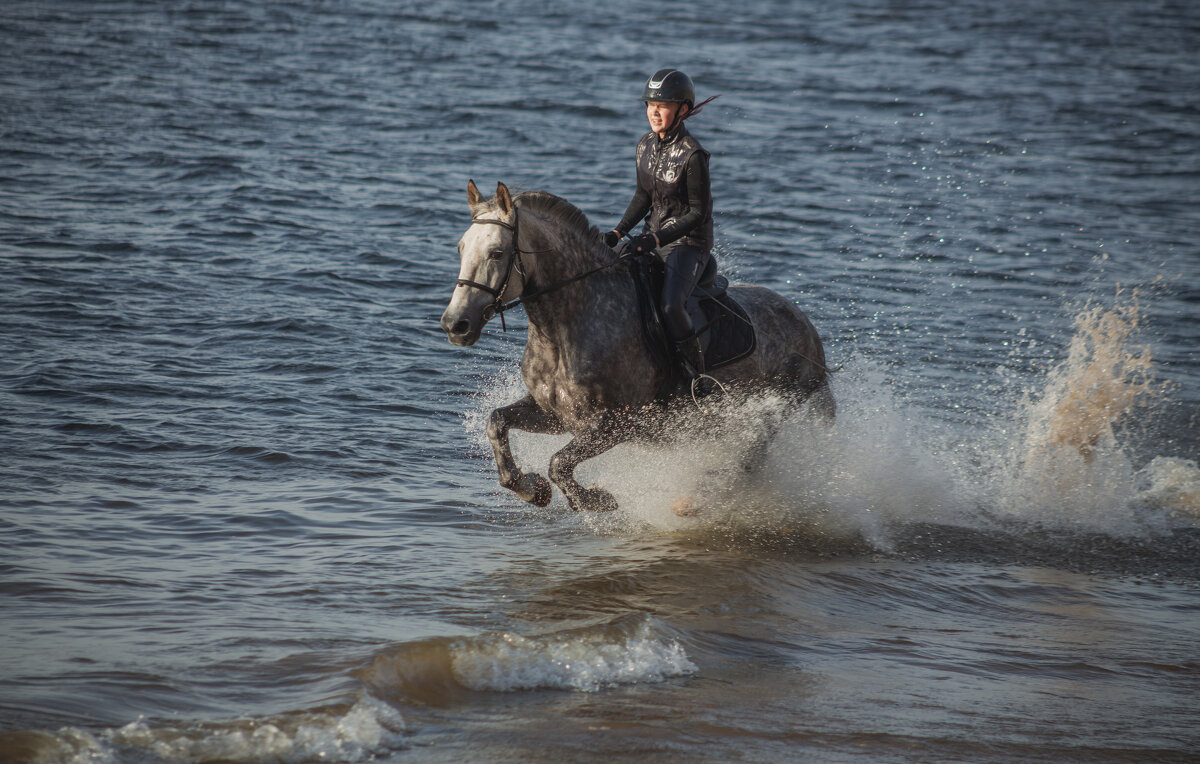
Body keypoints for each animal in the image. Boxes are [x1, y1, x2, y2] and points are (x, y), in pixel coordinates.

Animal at [441, 179, 835, 513]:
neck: (568, 326)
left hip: (768, 413)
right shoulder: (555, 415)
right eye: (460, 248)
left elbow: (559, 463)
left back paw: (693, 501)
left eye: (496, 253)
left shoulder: (617, 423)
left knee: (745, 464)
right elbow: (497, 422)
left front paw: (596, 500)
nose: (455, 325)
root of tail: (808, 329)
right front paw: (531, 489)